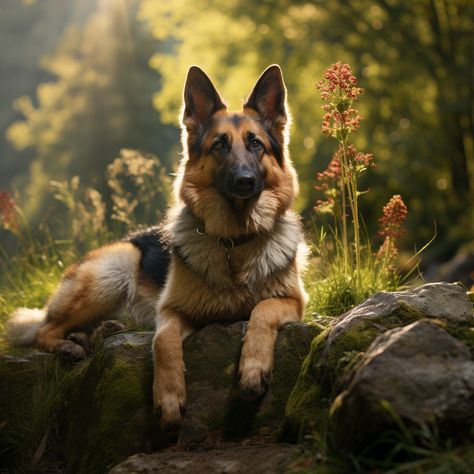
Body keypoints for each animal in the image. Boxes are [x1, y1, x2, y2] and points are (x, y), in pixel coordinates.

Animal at [10, 65, 312, 432]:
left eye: (256, 144)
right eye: (219, 146)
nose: (244, 181)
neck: (233, 243)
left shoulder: (293, 302)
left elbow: (262, 310)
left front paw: (253, 370)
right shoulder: (170, 311)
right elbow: (162, 341)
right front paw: (168, 400)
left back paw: (95, 334)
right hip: (115, 269)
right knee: (43, 329)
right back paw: (70, 345)